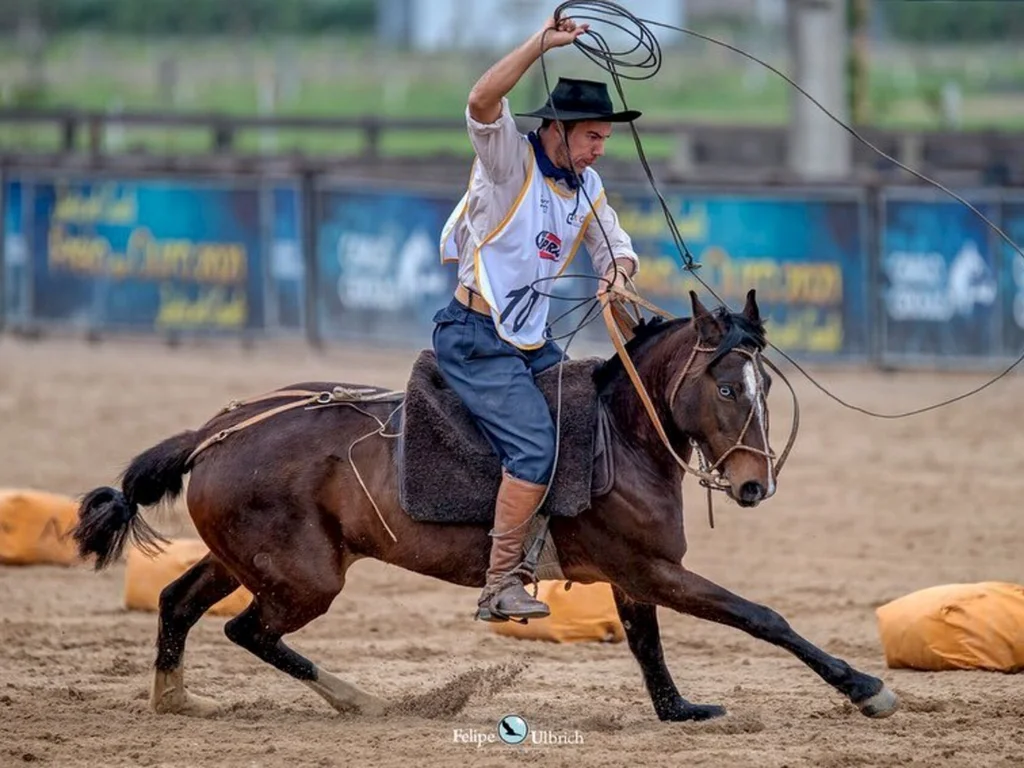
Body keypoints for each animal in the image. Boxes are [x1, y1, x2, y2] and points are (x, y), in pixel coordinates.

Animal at [70, 289, 898, 722]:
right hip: (306, 578)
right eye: (727, 387)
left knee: (178, 602)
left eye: (765, 390)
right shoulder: (651, 568)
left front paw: (678, 709)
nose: (756, 485)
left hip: (246, 559)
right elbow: (762, 617)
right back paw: (364, 700)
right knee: (248, 630)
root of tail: (215, 432)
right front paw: (865, 688)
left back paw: (176, 701)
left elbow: (645, 643)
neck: (617, 434)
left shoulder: (634, 575)